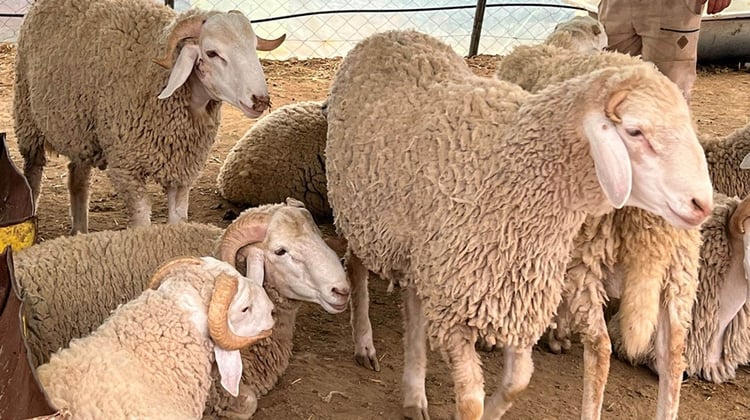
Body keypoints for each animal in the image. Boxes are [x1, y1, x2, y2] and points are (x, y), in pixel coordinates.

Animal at [14, 0, 285, 234]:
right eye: (211, 53)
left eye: (253, 47)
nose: (260, 100)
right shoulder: (126, 168)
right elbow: (142, 217)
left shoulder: (182, 171)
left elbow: (178, 218)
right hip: (27, 115)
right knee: (33, 173)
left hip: (80, 129)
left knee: (78, 179)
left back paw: (80, 230)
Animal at [325, 29, 713, 419]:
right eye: (634, 132)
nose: (702, 205)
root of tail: (391, 34)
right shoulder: (459, 313)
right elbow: (471, 402)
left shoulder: (517, 297)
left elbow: (517, 381)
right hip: (361, 214)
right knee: (355, 267)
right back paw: (365, 344)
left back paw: (414, 392)